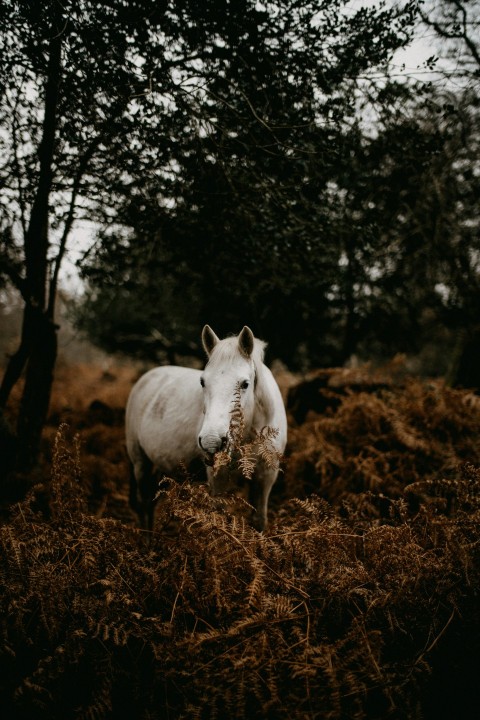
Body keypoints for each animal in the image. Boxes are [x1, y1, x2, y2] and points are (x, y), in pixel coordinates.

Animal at [125, 324, 286, 528]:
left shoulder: (266, 477)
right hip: (140, 463)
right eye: (202, 381)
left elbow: (259, 521)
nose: (212, 441)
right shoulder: (218, 480)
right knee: (145, 502)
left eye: (245, 384)